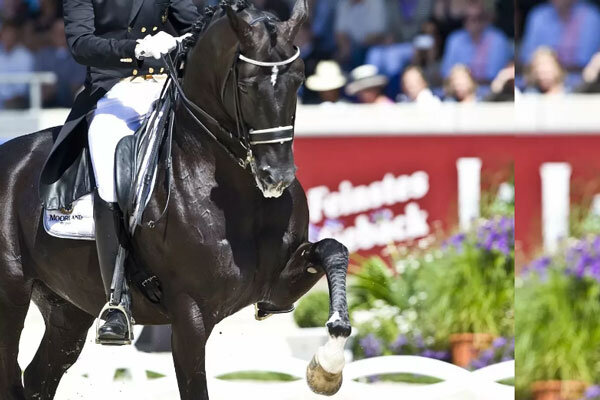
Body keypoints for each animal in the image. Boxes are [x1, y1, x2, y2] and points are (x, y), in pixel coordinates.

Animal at [0, 1, 352, 398]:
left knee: (38, 375)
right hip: (10, 297)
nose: (276, 176)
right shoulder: (190, 314)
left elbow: (333, 250)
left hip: (68, 307)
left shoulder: (276, 289)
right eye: (246, 85)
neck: (238, 193)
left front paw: (327, 366)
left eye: (299, 80)